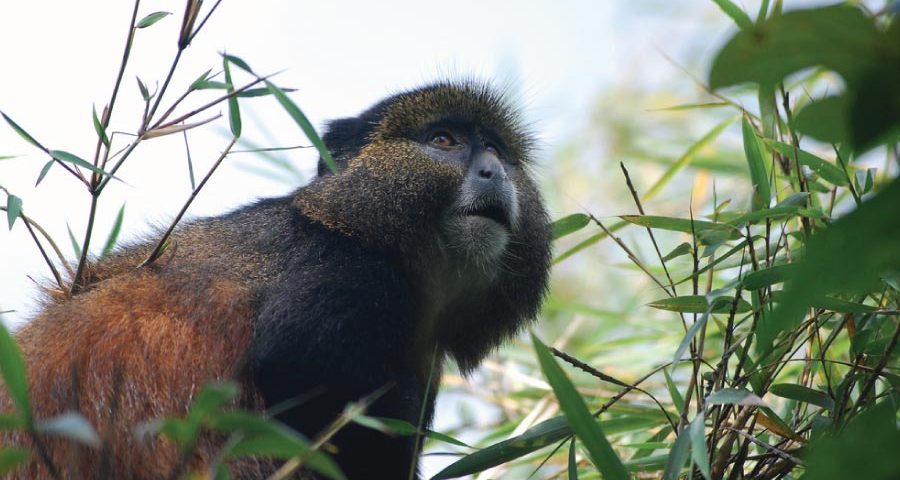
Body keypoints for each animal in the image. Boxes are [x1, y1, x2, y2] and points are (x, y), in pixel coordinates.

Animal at [0, 80, 552, 479]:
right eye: (444, 140)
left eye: (496, 150)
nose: (494, 172)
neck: (359, 225)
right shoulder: (347, 272)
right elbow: (301, 368)